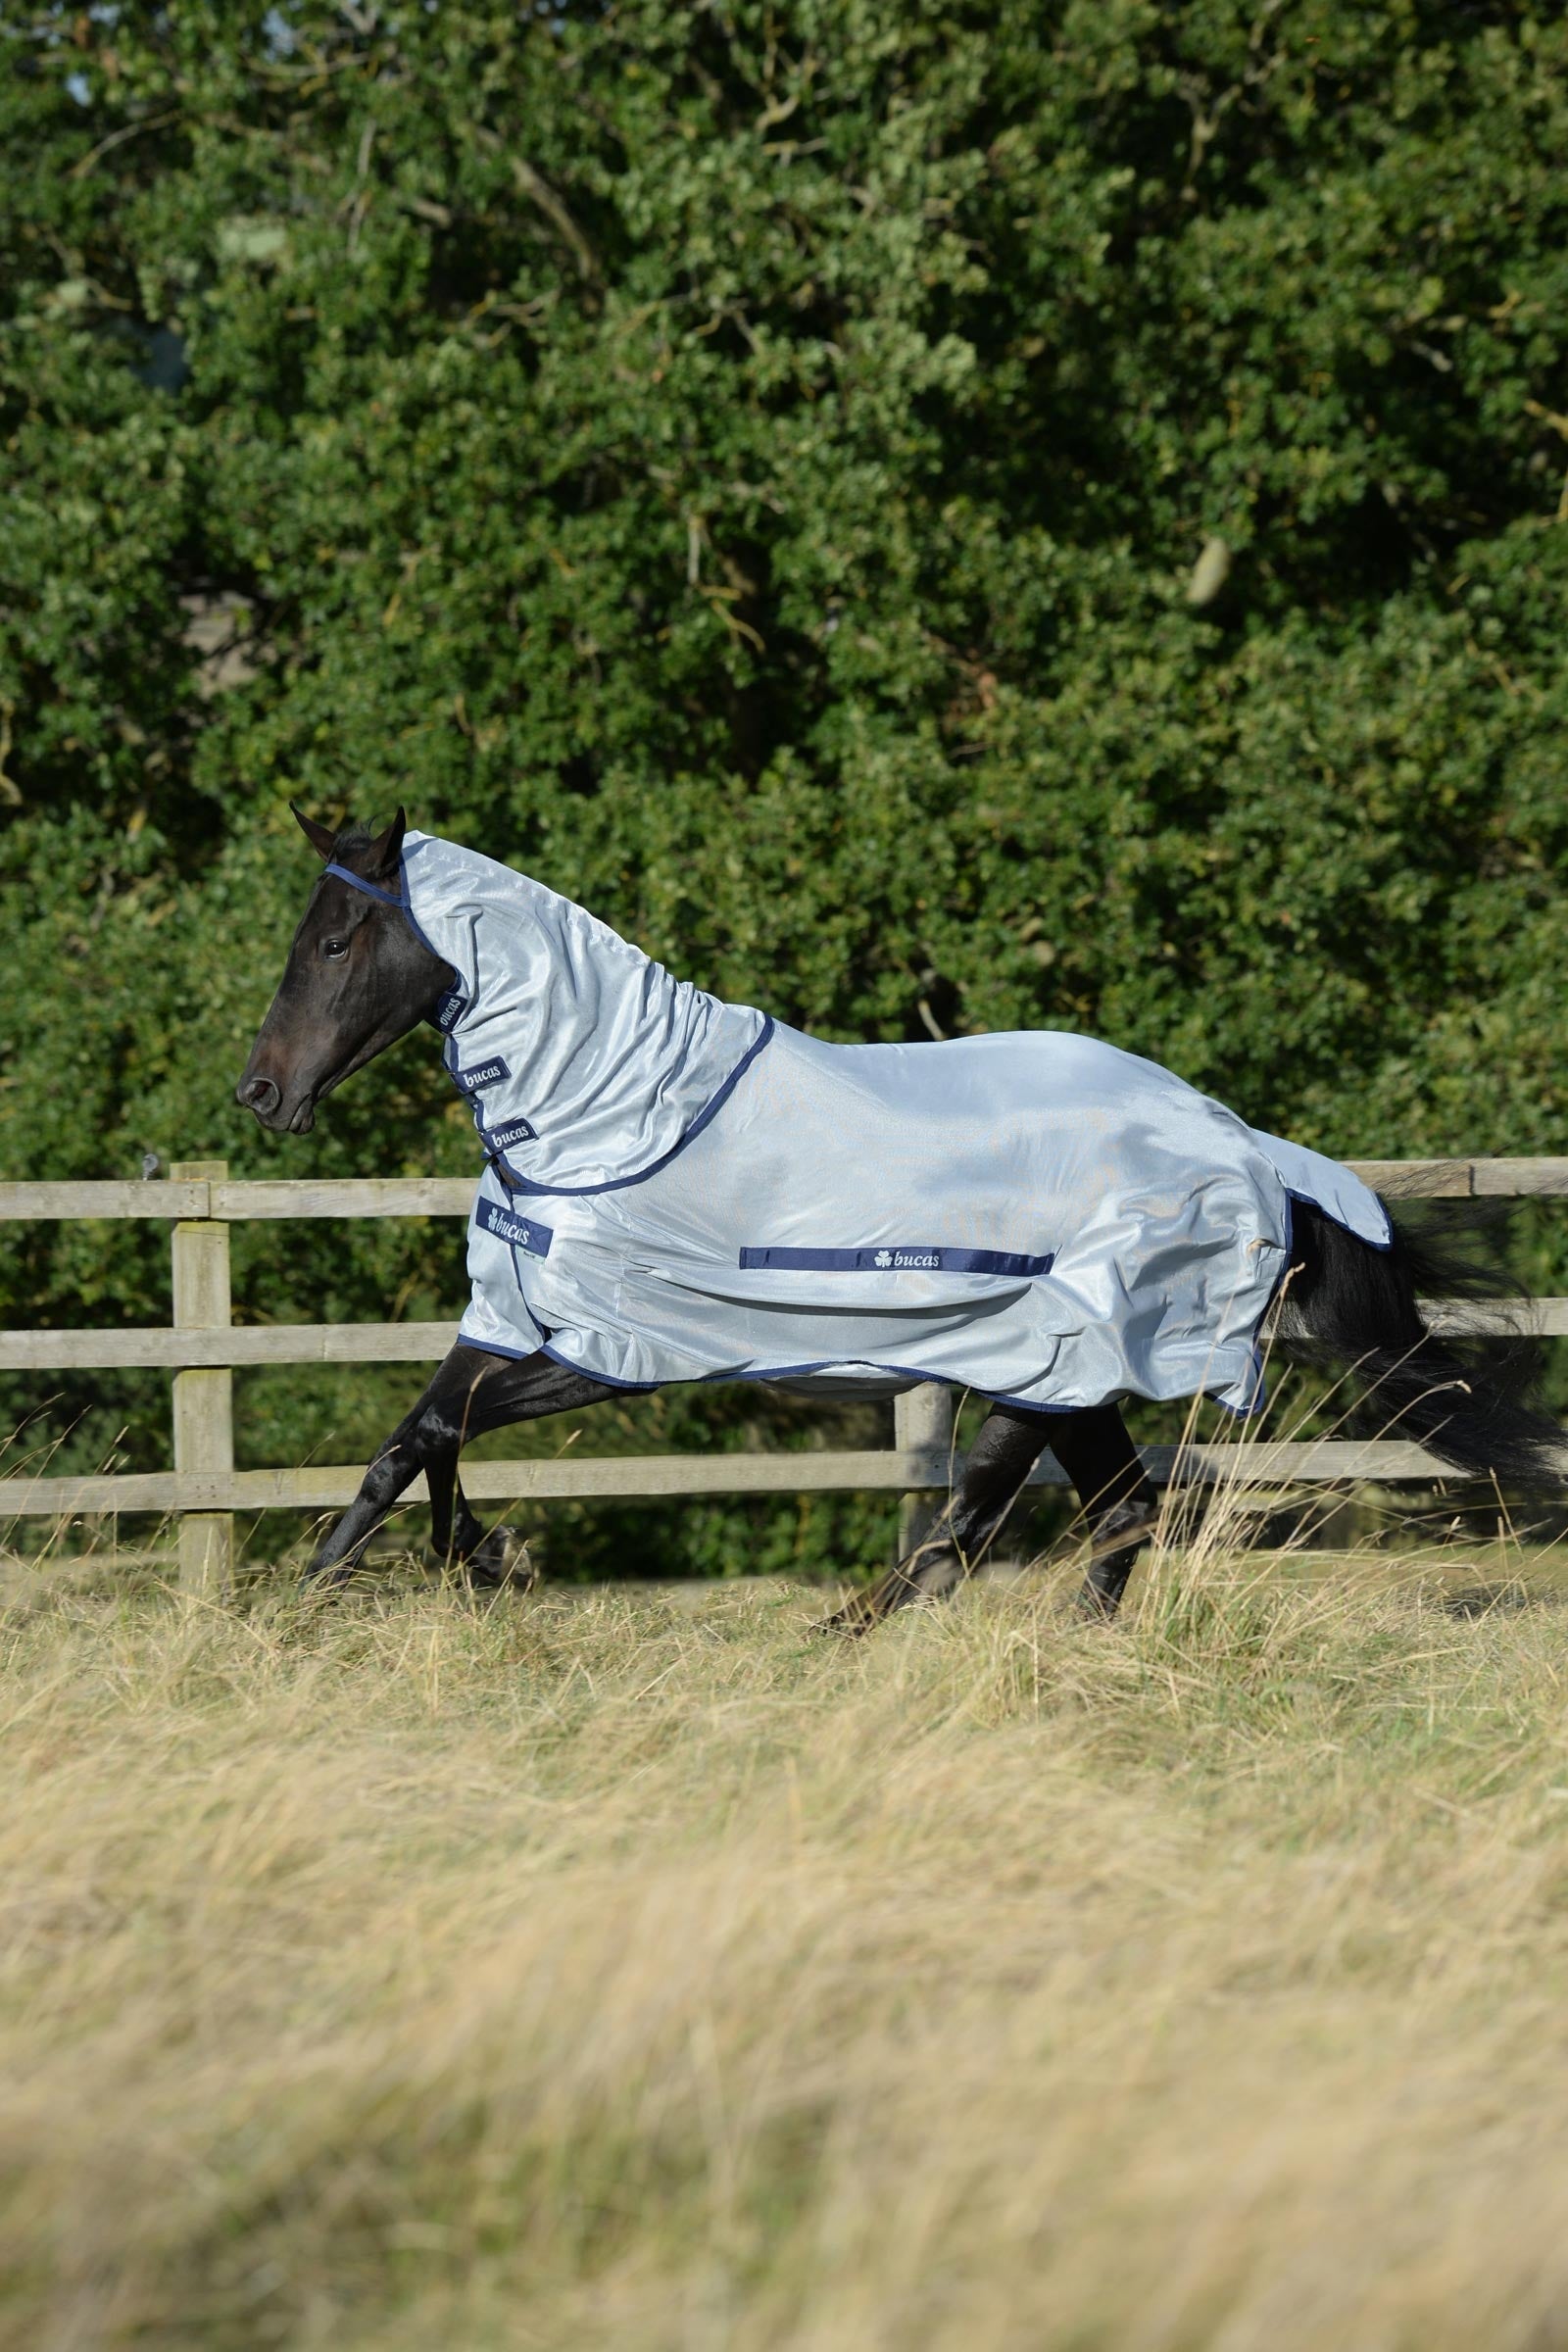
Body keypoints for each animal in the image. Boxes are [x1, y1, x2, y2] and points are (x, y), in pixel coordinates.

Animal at [235, 807, 1561, 1628]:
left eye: (338, 940)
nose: (260, 1093)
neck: (611, 1105)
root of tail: (1244, 1142)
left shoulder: (616, 1353)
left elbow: (434, 1432)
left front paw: (412, 1576)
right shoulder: (516, 1322)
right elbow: (413, 1440)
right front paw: (411, 1574)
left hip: (1052, 1359)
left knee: (973, 1527)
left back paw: (843, 1634)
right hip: (1073, 1377)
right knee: (1115, 1514)